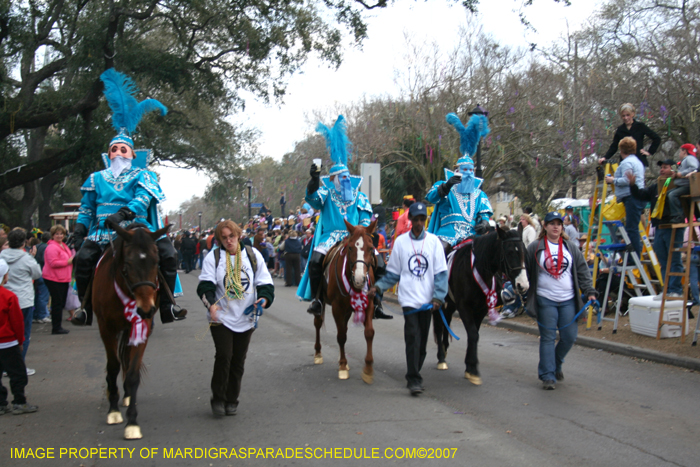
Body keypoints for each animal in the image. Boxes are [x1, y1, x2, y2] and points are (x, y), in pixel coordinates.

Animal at [92, 221, 170, 440]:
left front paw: (132, 423)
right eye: (127, 266)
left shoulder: (142, 327)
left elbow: (133, 372)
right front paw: (113, 411)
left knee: (126, 360)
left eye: (156, 262)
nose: (145, 309)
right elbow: (112, 366)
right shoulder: (106, 328)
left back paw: (127, 396)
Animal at [314, 219, 378, 384]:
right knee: (318, 324)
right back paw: (318, 353)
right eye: (350, 248)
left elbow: (369, 332)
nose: (360, 279)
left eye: (371, 248)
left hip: (348, 309)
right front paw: (343, 366)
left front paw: (368, 369)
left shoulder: (368, 303)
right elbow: (341, 336)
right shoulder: (337, 307)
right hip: (322, 303)